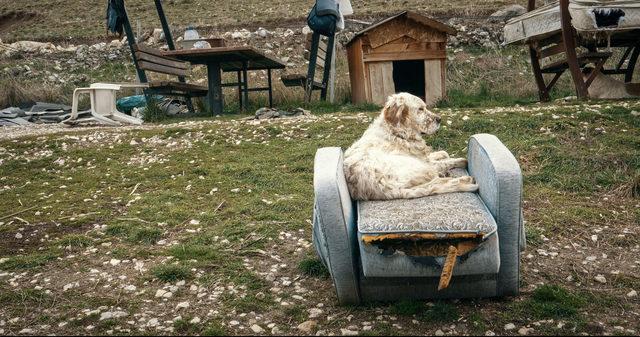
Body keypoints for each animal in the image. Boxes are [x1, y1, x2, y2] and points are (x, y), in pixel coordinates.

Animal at [344, 92, 476, 200]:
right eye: (420, 109)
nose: (439, 119)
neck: (397, 133)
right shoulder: (425, 162)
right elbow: (451, 161)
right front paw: (461, 161)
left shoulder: (422, 156)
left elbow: (443, 153)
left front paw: (441, 155)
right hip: (422, 168)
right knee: (436, 179)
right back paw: (464, 178)